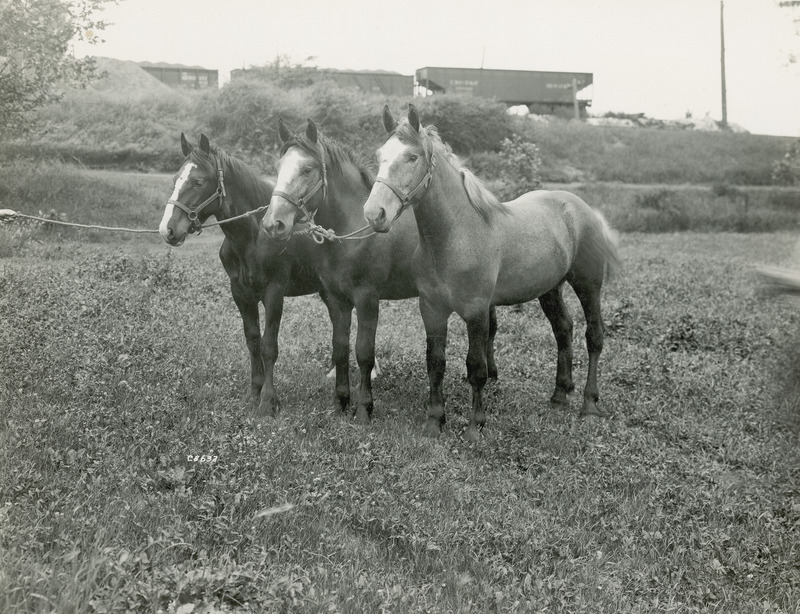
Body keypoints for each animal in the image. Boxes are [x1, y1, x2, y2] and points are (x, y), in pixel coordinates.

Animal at [158, 132, 324, 416]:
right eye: (175, 179)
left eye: (198, 181)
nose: (168, 230)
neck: (254, 237)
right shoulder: (241, 293)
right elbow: (253, 340)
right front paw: (253, 393)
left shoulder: (274, 293)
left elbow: (269, 346)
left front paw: (268, 401)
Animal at [262, 121, 500, 424]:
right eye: (279, 166)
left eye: (306, 169)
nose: (273, 224)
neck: (351, 230)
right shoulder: (337, 300)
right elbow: (340, 348)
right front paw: (340, 402)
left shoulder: (367, 299)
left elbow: (364, 352)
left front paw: (364, 408)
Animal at [362, 107, 620, 442]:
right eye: (380, 155)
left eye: (412, 157)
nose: (374, 213)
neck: (456, 235)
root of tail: (581, 208)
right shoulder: (431, 309)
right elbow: (435, 363)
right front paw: (434, 421)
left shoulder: (476, 311)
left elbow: (476, 367)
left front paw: (476, 426)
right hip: (550, 289)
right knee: (563, 330)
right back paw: (560, 394)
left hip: (588, 285)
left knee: (594, 337)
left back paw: (589, 405)